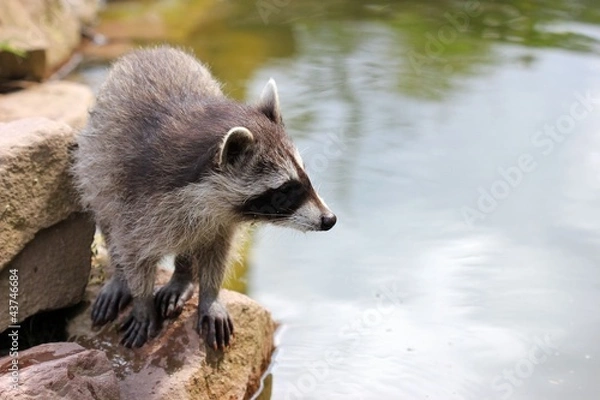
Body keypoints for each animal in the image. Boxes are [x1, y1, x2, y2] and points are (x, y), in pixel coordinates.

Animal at [72, 45, 336, 348]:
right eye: (285, 188)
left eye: (305, 176)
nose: (329, 219)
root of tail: (151, 51)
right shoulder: (135, 198)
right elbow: (132, 251)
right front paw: (141, 301)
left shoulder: (219, 219)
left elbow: (216, 252)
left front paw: (210, 295)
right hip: (94, 163)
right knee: (107, 218)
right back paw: (120, 276)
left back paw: (183, 276)